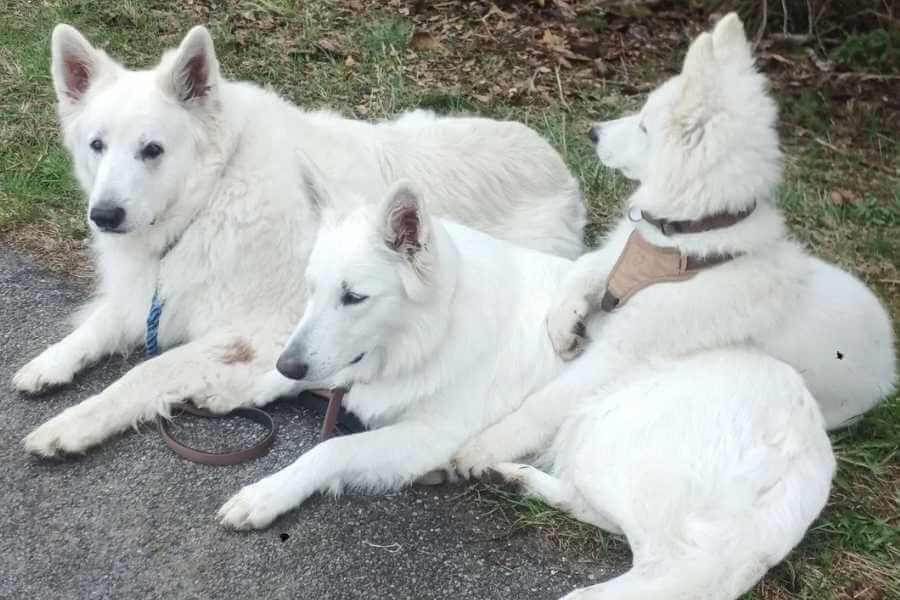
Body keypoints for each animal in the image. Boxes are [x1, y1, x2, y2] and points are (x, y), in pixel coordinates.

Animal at [14, 22, 588, 454]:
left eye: (151, 150)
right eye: (97, 145)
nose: (104, 216)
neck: (213, 194)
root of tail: (559, 167)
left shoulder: (257, 332)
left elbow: (146, 373)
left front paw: (74, 423)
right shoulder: (157, 295)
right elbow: (102, 325)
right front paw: (50, 363)